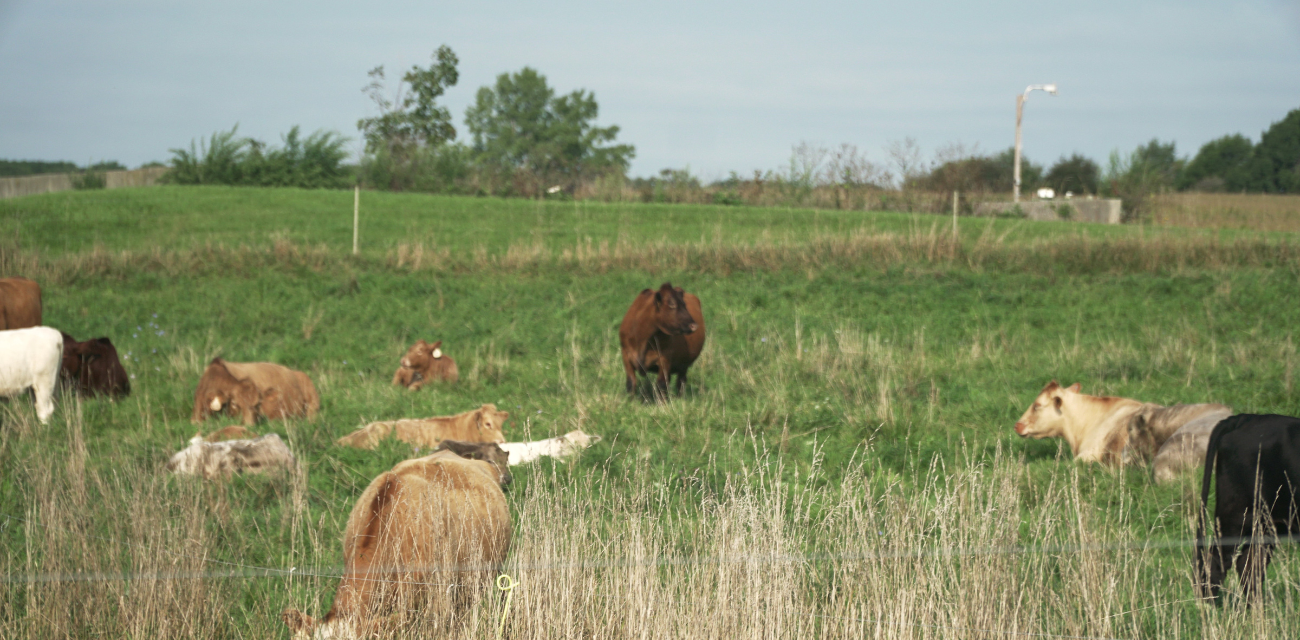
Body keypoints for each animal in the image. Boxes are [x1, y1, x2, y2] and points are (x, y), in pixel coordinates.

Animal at [1196, 413, 1300, 603]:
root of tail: (1248, 418)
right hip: (1234, 515)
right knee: (1217, 561)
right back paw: (1211, 606)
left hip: (1265, 524)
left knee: (1249, 566)